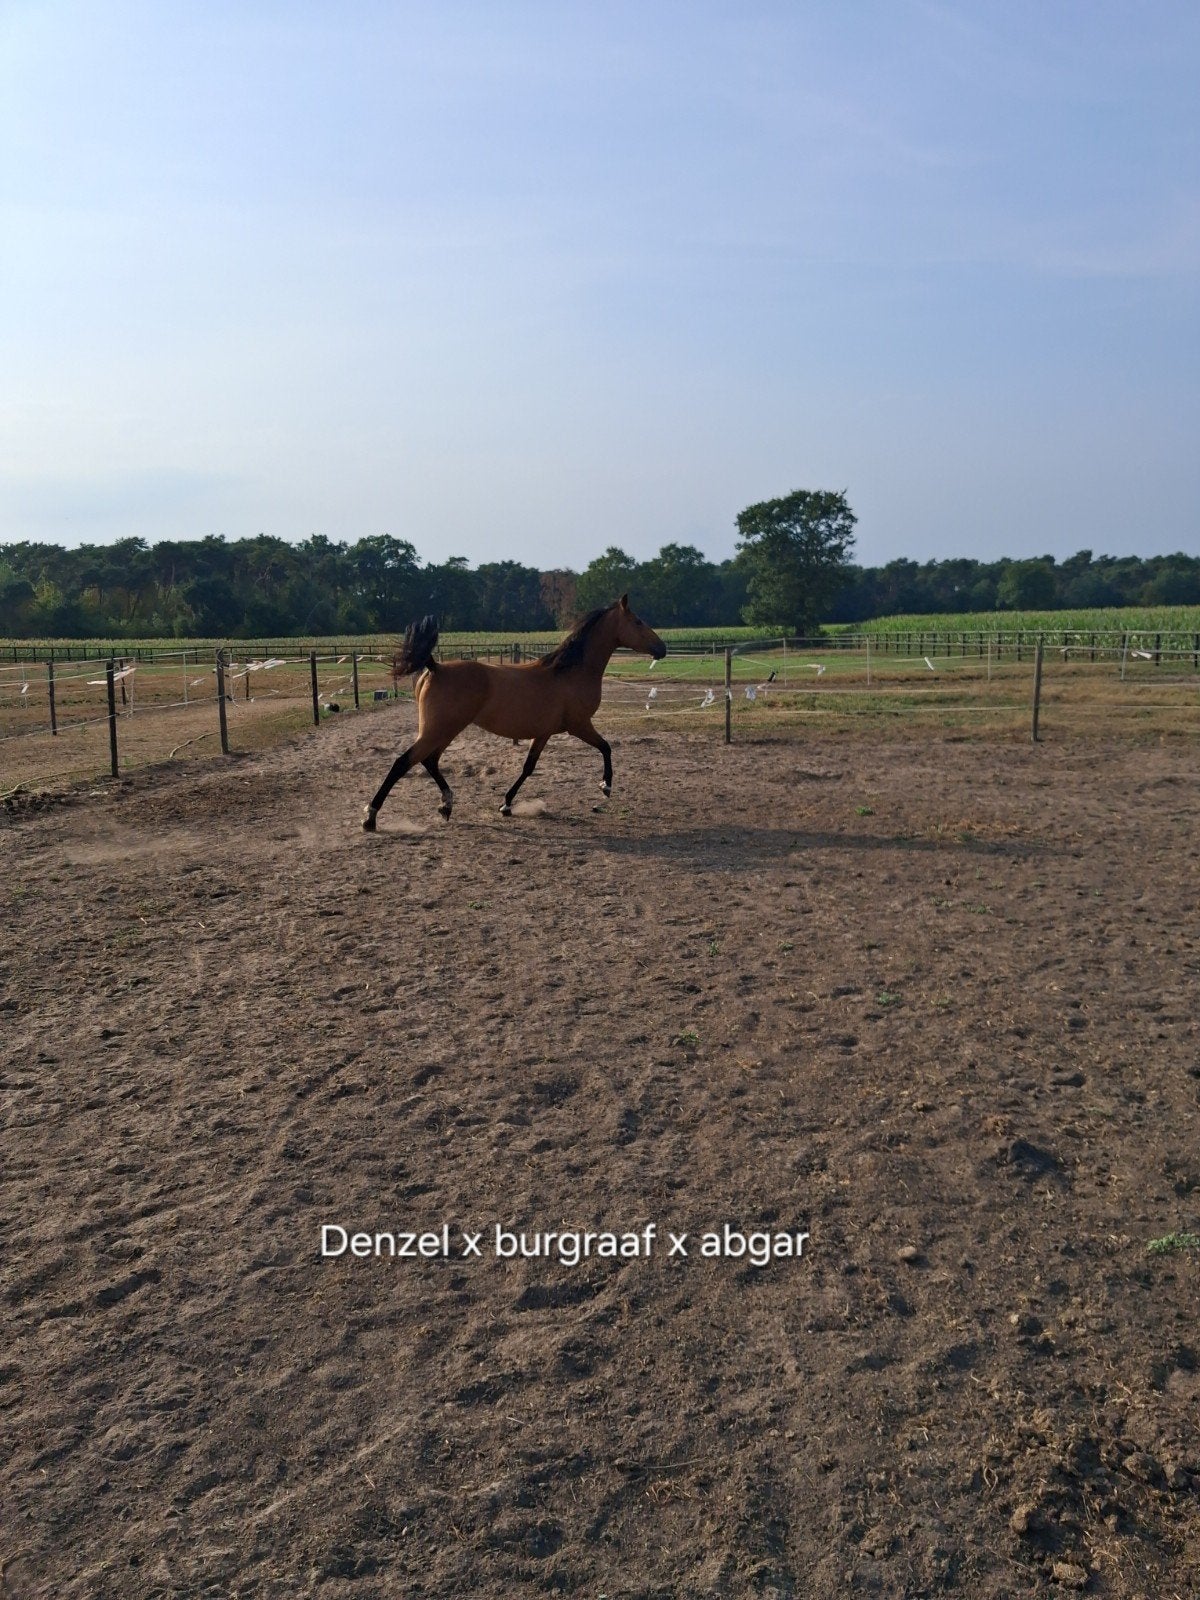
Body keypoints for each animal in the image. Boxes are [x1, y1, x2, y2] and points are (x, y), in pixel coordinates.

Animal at [361, 595, 666, 830]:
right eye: (638, 622)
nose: (661, 648)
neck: (569, 672)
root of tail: (435, 667)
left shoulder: (544, 733)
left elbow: (528, 768)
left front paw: (506, 804)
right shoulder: (579, 725)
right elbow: (606, 747)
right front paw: (606, 787)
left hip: (445, 730)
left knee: (429, 761)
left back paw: (446, 805)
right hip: (440, 729)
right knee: (404, 762)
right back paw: (371, 818)